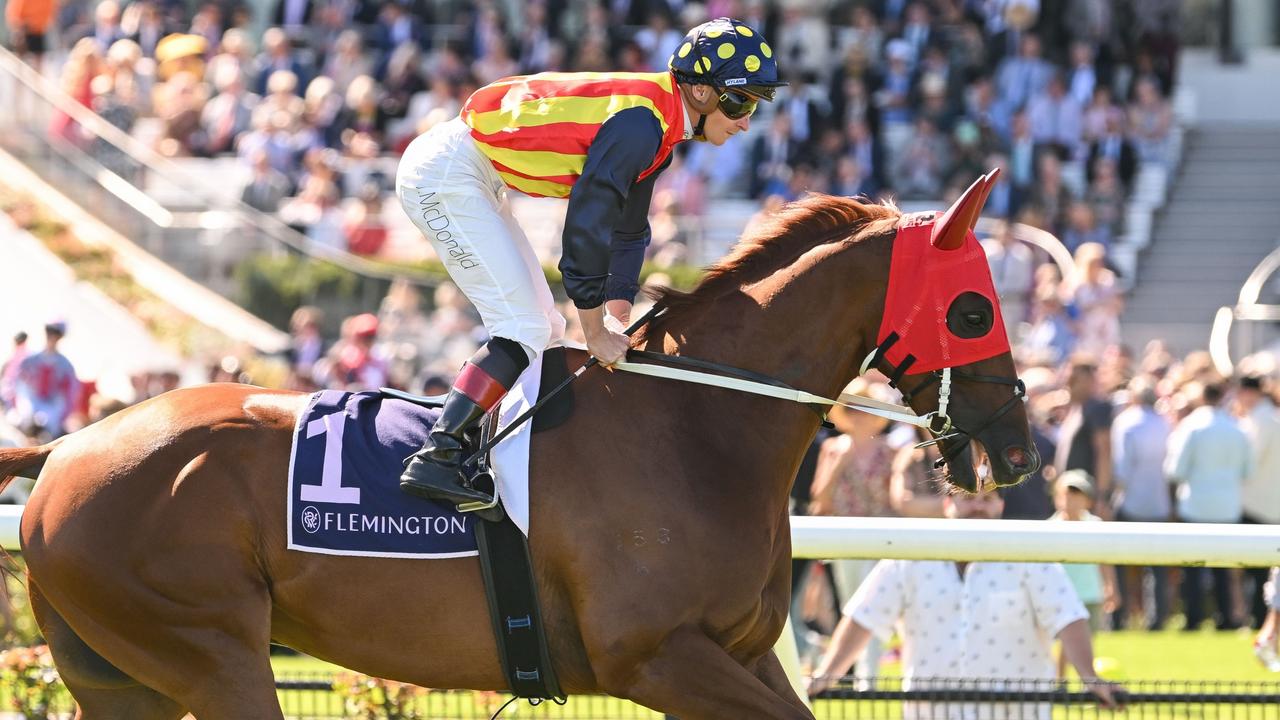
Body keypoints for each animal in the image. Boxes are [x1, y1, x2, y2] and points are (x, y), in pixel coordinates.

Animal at [0, 180, 1039, 717]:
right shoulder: (656, 658)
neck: (695, 425)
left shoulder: (745, 655)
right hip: (210, 652)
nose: (1021, 446)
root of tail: (68, 448)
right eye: (973, 308)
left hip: (122, 678)